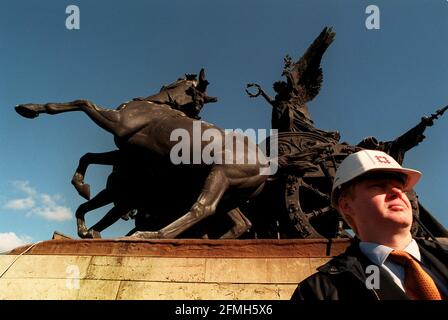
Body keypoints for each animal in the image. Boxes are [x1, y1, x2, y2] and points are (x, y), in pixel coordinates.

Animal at [15, 70, 270, 240]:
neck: (155, 106)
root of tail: (265, 167)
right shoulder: (127, 151)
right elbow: (88, 157)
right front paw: (82, 187)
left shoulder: (119, 125)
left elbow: (82, 102)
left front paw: (29, 108)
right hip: (229, 194)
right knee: (240, 223)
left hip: (220, 175)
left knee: (203, 208)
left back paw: (151, 235)